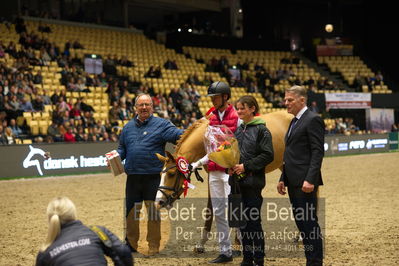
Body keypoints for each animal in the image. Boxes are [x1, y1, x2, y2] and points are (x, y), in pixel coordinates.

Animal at [155, 111, 292, 250]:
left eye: (171, 174)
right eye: (160, 174)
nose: (159, 202)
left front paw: (238, 243)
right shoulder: (212, 176)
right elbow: (210, 208)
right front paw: (201, 243)